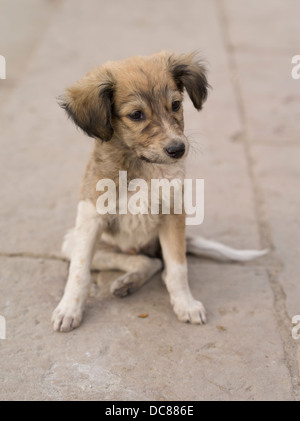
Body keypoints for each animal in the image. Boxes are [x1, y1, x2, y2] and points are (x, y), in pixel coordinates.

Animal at [52, 50, 268, 332]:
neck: (142, 165)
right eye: (136, 115)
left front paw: (185, 304)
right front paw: (69, 309)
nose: (178, 149)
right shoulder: (90, 216)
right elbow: (79, 272)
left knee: (159, 263)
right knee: (144, 261)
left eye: (175, 105)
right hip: (73, 241)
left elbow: (178, 268)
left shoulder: (173, 214)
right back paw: (128, 282)